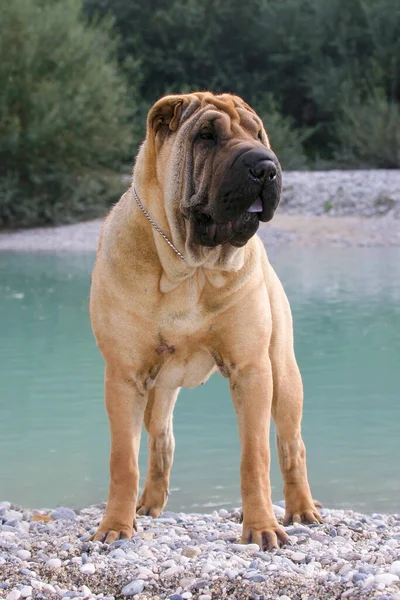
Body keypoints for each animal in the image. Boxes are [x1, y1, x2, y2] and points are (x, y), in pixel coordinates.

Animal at [90, 91, 322, 552]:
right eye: (206, 136)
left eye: (257, 133)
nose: (265, 166)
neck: (189, 266)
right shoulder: (125, 376)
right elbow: (123, 459)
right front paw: (116, 526)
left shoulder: (252, 370)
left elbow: (255, 456)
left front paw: (263, 527)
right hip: (158, 391)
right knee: (161, 440)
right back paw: (148, 505)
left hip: (285, 375)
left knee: (291, 446)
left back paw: (302, 509)